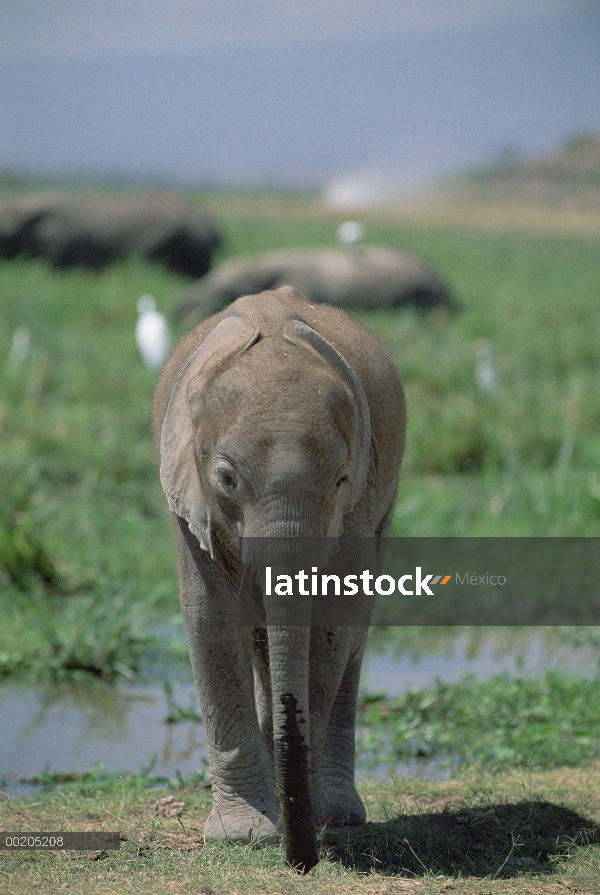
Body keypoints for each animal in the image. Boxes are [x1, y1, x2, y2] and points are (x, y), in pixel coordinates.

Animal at [154, 286, 408, 868]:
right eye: (226, 478)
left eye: (340, 480)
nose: (301, 865)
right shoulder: (188, 499)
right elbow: (208, 617)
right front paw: (243, 837)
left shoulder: (359, 503)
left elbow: (333, 621)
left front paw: (302, 819)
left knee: (354, 634)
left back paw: (335, 814)